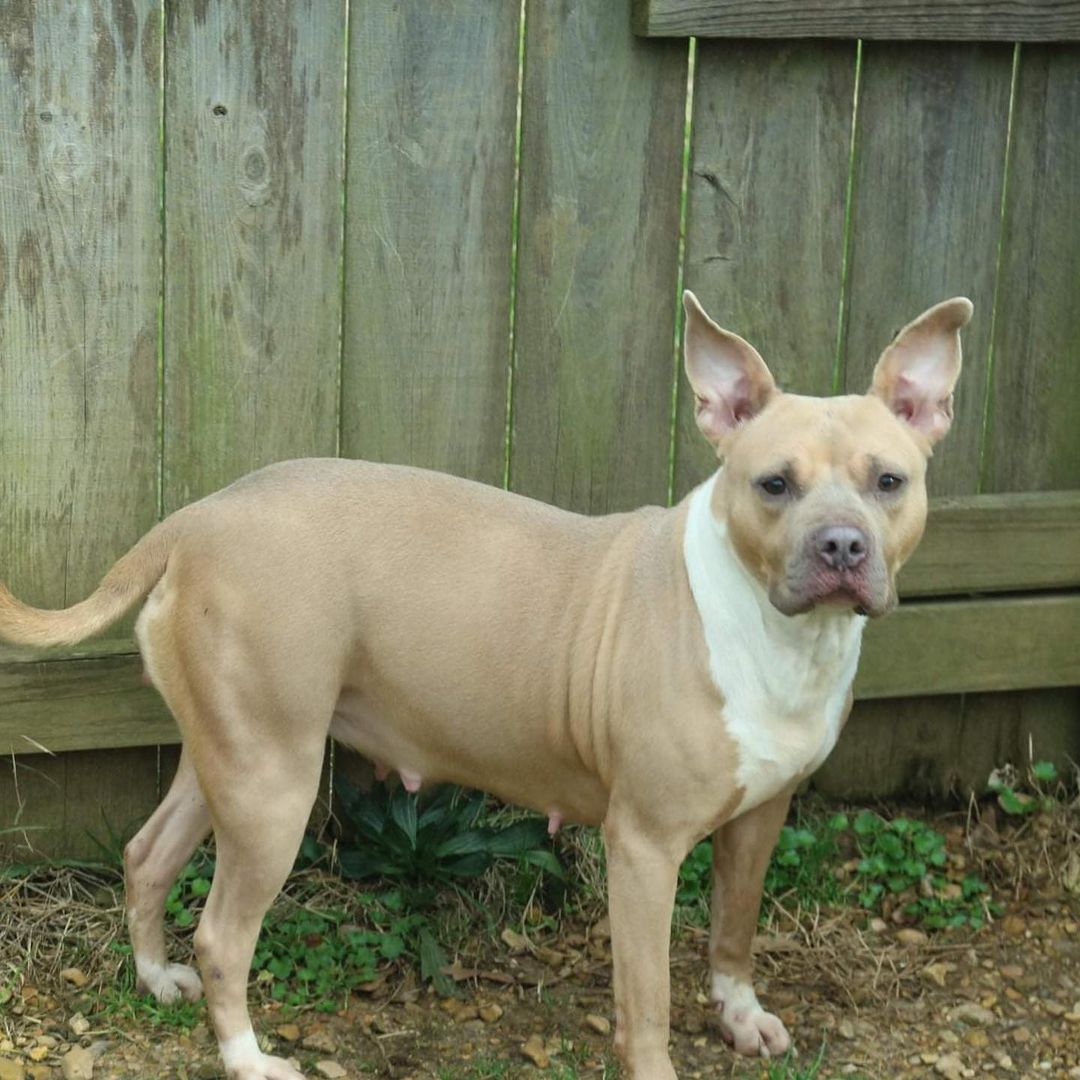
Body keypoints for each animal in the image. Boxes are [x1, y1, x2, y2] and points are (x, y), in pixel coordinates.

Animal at [0, 291, 972, 1075]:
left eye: (890, 481)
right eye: (773, 484)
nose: (841, 546)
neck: (773, 627)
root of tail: (198, 516)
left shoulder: (761, 817)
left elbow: (734, 929)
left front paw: (740, 1016)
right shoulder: (644, 846)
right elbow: (647, 999)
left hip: (231, 760)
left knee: (149, 853)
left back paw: (154, 976)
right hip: (272, 782)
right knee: (224, 935)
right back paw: (247, 1058)